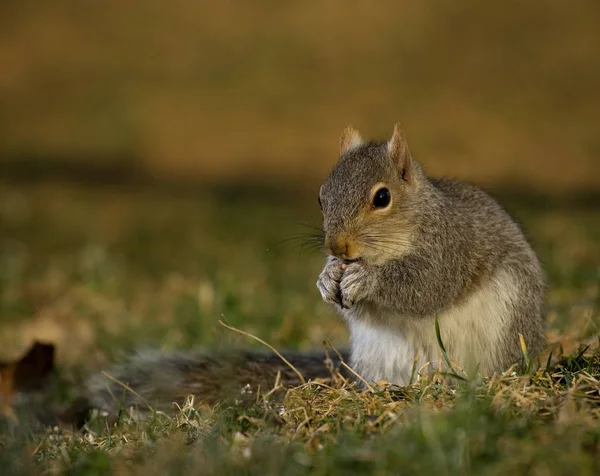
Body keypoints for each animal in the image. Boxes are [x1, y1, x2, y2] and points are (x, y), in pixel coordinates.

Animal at [82, 123, 548, 420]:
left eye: (382, 198)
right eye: (321, 196)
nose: (336, 247)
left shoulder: (451, 248)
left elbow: (425, 286)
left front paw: (368, 281)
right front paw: (327, 279)